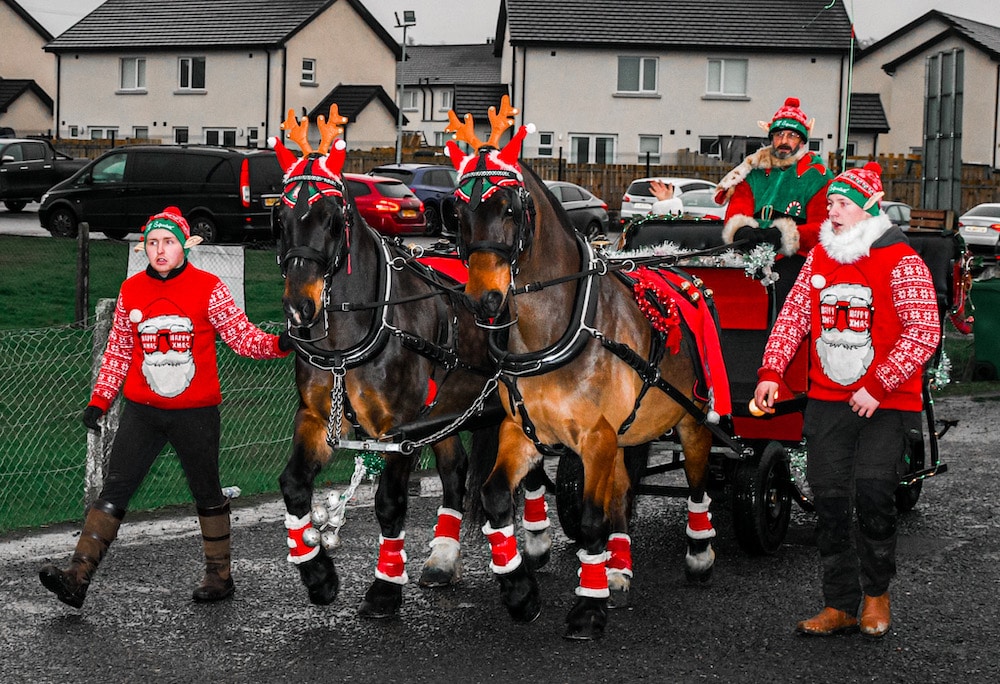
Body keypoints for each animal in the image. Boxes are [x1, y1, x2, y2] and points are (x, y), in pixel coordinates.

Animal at [270, 108, 556, 620]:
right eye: (279, 219)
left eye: (331, 218)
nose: (299, 310)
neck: (360, 328)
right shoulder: (318, 417)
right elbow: (294, 484)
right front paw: (318, 574)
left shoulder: (397, 429)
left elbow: (389, 502)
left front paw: (384, 587)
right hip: (446, 412)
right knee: (457, 472)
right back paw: (443, 557)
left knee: (532, 467)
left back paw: (538, 544)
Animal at [450, 99, 724, 640]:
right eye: (459, 212)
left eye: (509, 209)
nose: (482, 300)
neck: (558, 331)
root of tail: (680, 271)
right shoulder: (527, 431)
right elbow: (496, 497)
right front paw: (520, 591)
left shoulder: (595, 437)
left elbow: (593, 519)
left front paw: (587, 607)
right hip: (626, 431)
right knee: (622, 491)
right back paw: (618, 567)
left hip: (692, 417)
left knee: (698, 480)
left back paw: (700, 554)